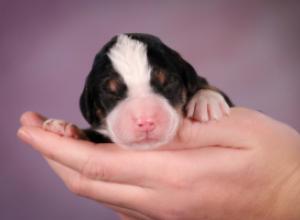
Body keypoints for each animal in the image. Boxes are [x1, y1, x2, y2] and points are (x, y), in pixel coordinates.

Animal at [43, 33, 233, 150]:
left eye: (168, 82)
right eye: (111, 92)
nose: (146, 121)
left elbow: (205, 85)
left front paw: (207, 100)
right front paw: (64, 127)